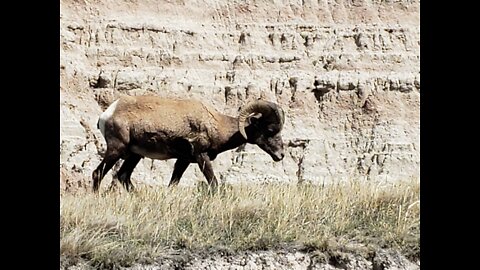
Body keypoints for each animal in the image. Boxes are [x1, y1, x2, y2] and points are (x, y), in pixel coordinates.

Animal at [93, 95, 284, 192]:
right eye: (270, 130)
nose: (280, 155)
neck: (216, 125)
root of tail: (107, 114)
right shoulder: (201, 156)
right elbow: (214, 183)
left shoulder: (183, 160)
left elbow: (173, 185)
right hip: (116, 150)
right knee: (98, 173)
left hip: (135, 155)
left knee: (123, 176)